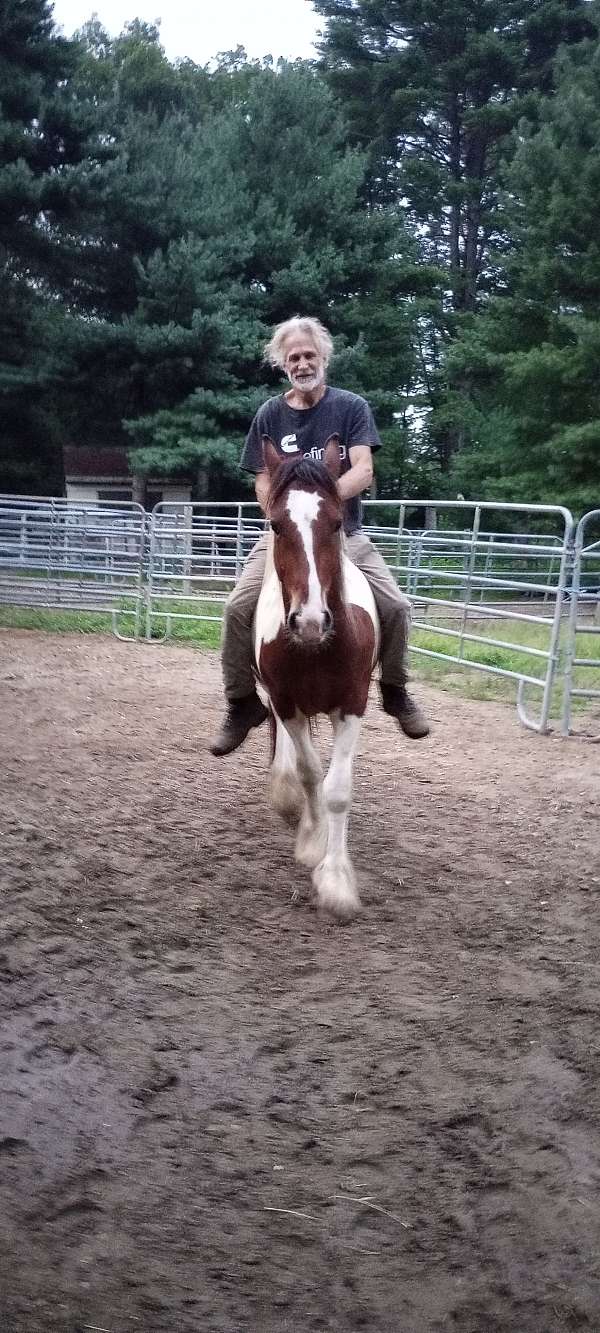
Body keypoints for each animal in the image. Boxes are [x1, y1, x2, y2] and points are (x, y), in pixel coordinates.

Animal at [253, 431, 378, 922]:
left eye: (336, 522)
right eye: (275, 525)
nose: (309, 621)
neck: (316, 650)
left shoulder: (353, 704)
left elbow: (337, 789)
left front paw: (337, 881)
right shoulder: (286, 702)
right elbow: (310, 774)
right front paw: (312, 841)